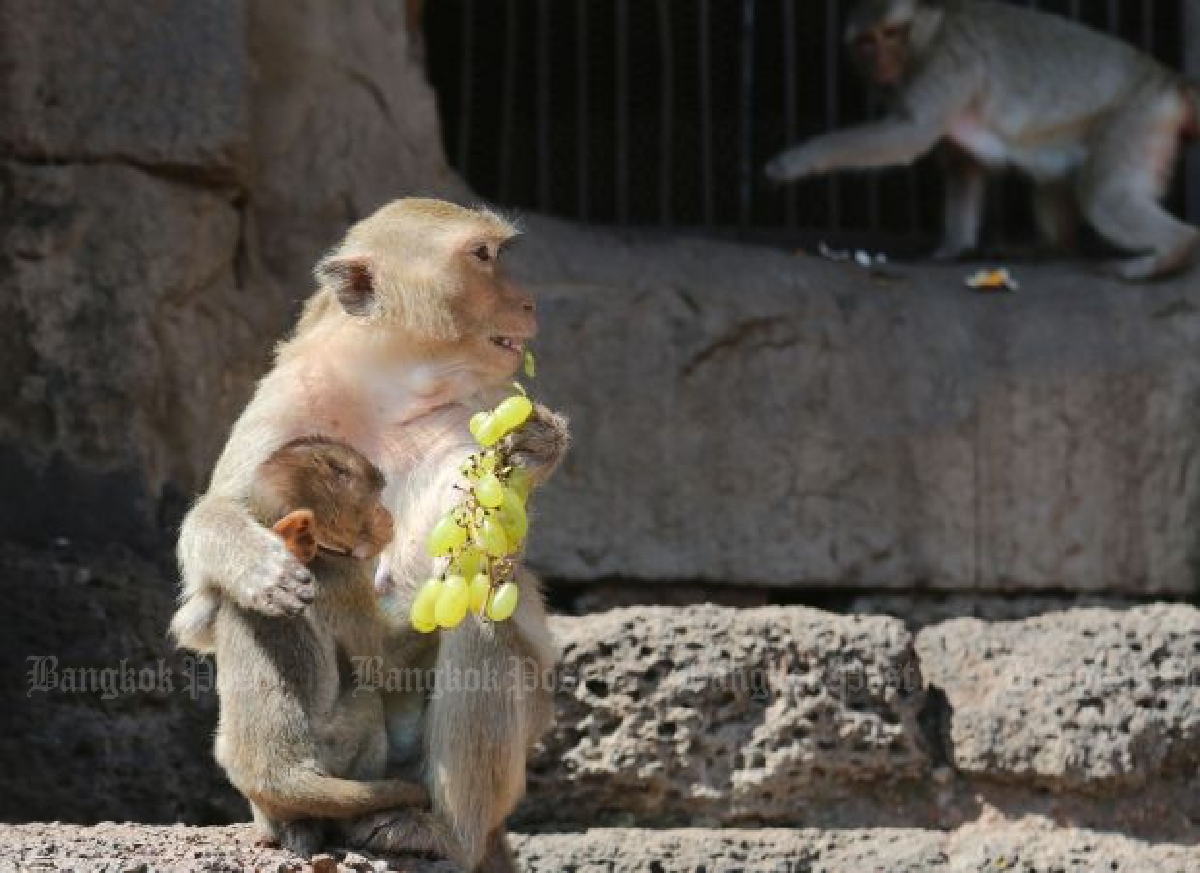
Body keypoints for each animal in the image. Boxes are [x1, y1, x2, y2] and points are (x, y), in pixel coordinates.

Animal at [212, 436, 440, 857]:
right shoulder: (342, 578)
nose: (388, 515)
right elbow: (382, 665)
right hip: (332, 750)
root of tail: (281, 775)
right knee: (366, 702)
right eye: (371, 499)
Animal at [763, 0, 1200, 281]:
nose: (881, 61)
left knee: (1104, 195)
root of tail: (1171, 81)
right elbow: (963, 167)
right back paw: (1051, 246)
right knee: (1055, 175)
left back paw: (1173, 252)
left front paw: (796, 160)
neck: (927, 38)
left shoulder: (947, 65)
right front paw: (952, 249)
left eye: (891, 34)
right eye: (867, 42)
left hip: (1138, 118)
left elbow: (909, 137)